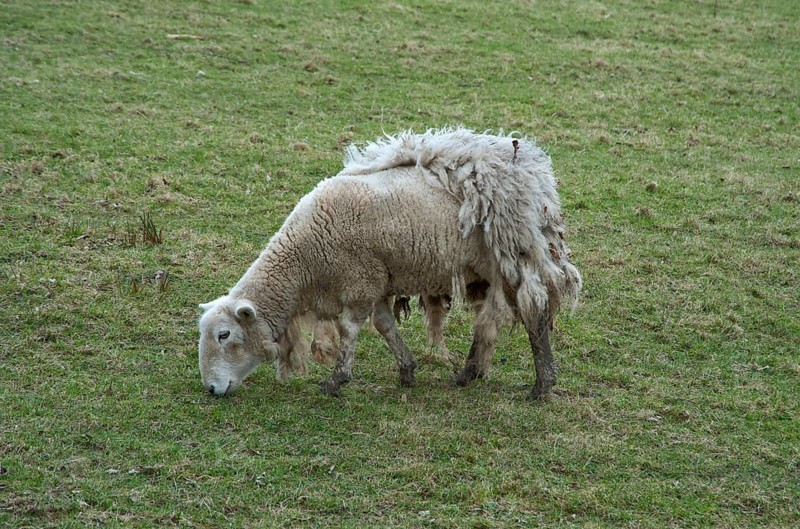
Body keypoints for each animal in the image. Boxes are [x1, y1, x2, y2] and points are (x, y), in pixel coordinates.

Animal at [198, 128, 581, 399]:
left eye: (224, 334)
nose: (212, 390)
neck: (304, 259)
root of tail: (535, 175)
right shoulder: (376, 279)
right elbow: (384, 325)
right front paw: (407, 369)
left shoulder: (359, 281)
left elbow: (349, 330)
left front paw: (337, 380)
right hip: (486, 269)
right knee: (488, 320)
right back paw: (467, 374)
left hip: (513, 255)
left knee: (535, 312)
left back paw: (542, 384)